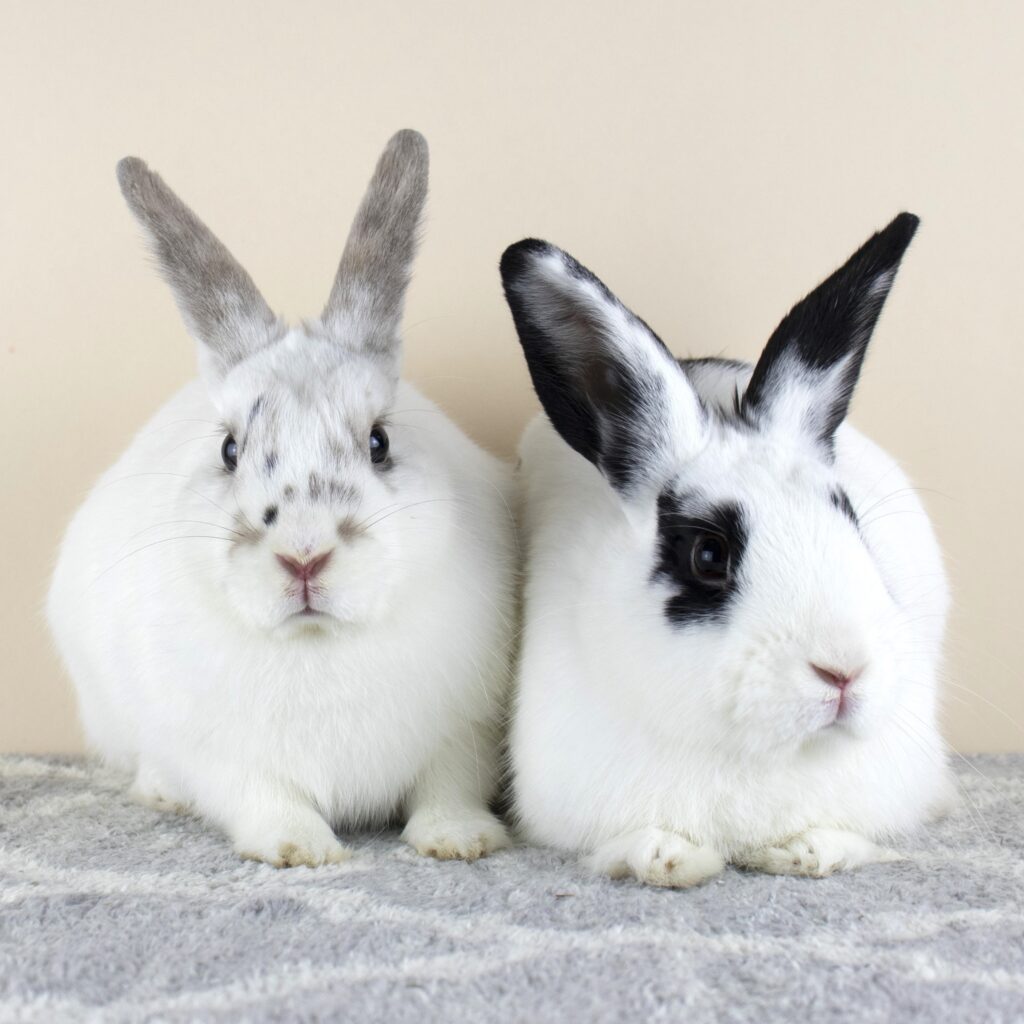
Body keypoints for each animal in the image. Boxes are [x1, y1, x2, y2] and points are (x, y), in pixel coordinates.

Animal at [47, 130, 517, 868]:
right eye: (229, 450)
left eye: (379, 441)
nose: (303, 556)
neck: (317, 645)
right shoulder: (220, 753)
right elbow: (262, 797)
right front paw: (301, 849)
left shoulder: (463, 730)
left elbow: (448, 785)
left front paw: (459, 840)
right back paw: (162, 793)